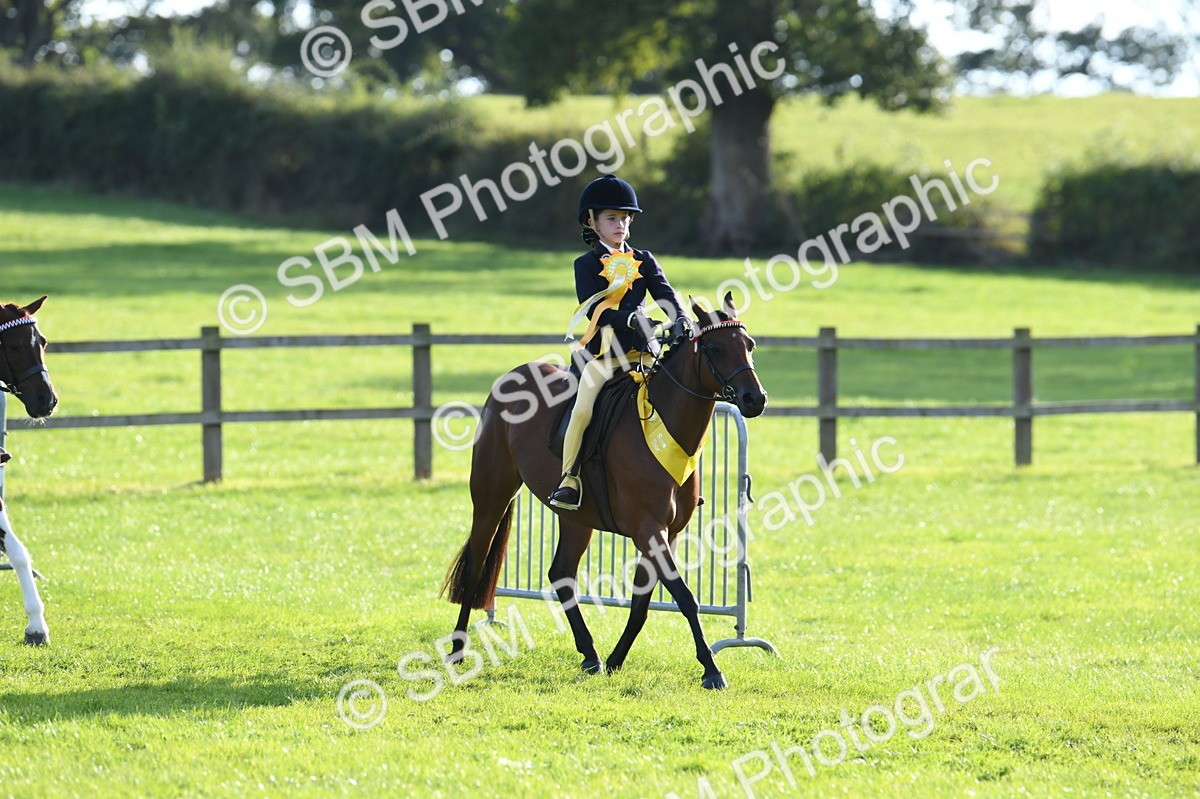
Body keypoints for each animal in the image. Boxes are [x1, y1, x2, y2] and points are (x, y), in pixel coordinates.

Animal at [442, 293, 767, 689]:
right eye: (716, 349)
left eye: (749, 345)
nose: (755, 399)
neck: (665, 423)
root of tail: (510, 377)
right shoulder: (649, 530)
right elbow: (685, 597)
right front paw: (711, 669)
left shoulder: (665, 534)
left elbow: (642, 604)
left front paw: (615, 660)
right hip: (492, 494)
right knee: (476, 567)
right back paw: (458, 650)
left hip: (576, 519)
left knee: (561, 573)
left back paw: (590, 654)